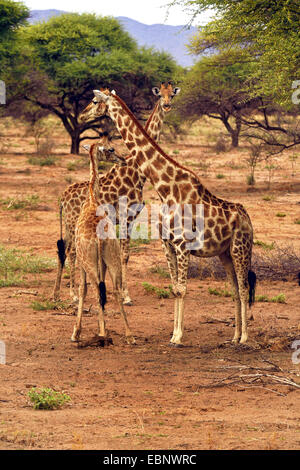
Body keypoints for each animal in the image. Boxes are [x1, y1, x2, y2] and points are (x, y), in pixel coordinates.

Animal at [52, 83, 180, 304]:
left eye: (172, 94)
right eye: (160, 95)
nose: (167, 105)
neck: (137, 172)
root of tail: (63, 198)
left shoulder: (128, 219)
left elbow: (121, 256)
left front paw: (117, 291)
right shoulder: (126, 217)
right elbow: (124, 255)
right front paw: (126, 295)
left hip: (69, 226)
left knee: (63, 250)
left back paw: (58, 293)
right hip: (73, 223)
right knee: (71, 251)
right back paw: (73, 294)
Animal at [71, 141, 135, 344]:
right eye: (110, 149)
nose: (123, 159)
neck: (92, 198)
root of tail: (99, 238)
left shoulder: (83, 262)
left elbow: (83, 290)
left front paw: (76, 333)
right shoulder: (104, 263)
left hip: (90, 261)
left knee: (96, 290)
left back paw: (101, 334)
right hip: (112, 257)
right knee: (114, 290)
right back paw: (129, 335)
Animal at [78, 88, 256, 346]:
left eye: (93, 101)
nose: (81, 116)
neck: (165, 188)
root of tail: (248, 219)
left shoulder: (182, 244)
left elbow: (182, 289)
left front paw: (179, 336)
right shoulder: (167, 244)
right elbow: (174, 288)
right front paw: (173, 334)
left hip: (241, 248)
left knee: (243, 288)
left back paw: (243, 338)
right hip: (225, 253)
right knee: (234, 288)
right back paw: (233, 336)